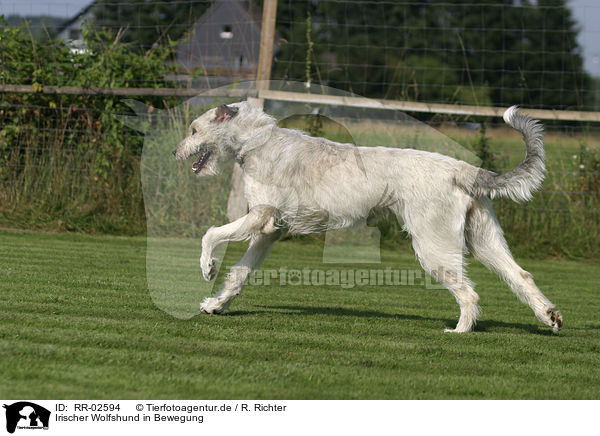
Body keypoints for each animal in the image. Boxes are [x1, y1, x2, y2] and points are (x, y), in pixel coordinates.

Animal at [172, 101, 564, 334]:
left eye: (193, 130)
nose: (175, 152)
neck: (257, 141)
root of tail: (464, 169)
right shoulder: (269, 232)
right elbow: (240, 273)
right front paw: (215, 305)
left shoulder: (261, 218)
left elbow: (211, 234)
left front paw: (207, 268)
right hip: (485, 242)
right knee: (521, 276)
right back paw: (549, 316)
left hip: (434, 247)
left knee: (469, 293)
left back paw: (460, 331)